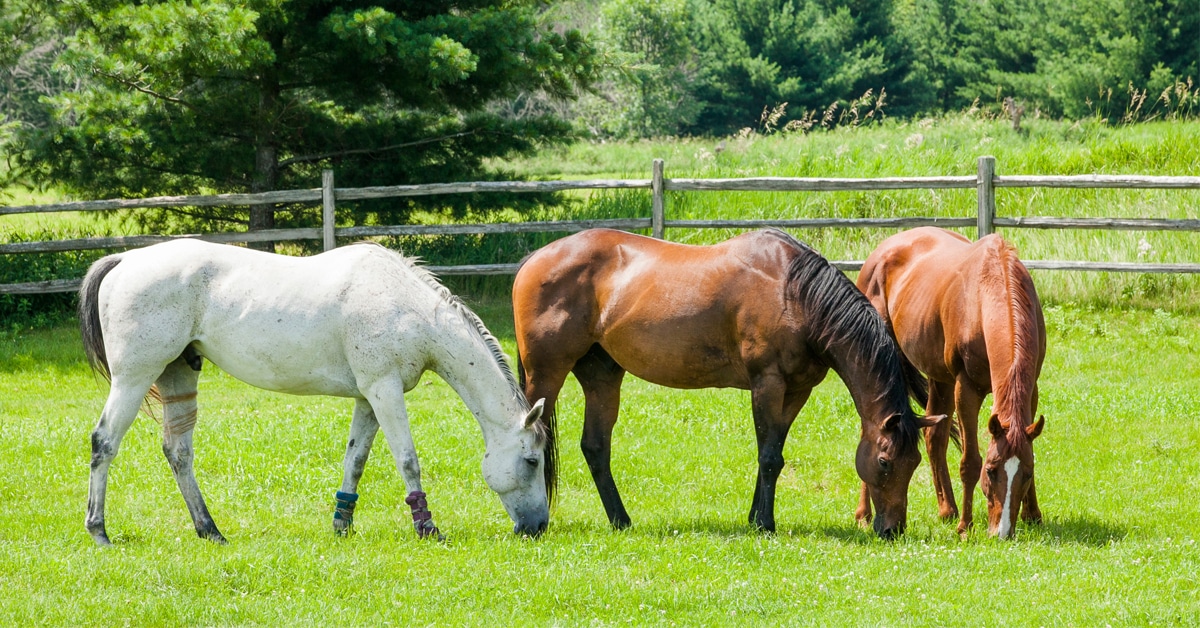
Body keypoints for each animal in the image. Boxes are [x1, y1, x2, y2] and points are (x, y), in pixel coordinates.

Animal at [78, 239, 550, 546]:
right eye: (532, 460)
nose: (537, 527)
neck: (410, 310)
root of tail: (125, 260)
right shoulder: (385, 391)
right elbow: (408, 460)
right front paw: (427, 528)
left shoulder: (369, 398)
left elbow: (355, 460)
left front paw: (343, 525)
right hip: (135, 377)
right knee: (104, 442)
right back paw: (99, 531)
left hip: (178, 374)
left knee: (178, 452)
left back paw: (209, 530)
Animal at [511, 228, 944, 539]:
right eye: (885, 462)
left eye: (915, 462)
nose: (892, 530)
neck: (795, 294)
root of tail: (534, 260)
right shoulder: (767, 384)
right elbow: (769, 457)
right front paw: (765, 524)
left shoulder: (796, 392)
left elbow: (773, 454)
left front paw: (755, 517)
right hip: (546, 374)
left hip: (601, 375)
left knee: (596, 447)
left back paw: (621, 520)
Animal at [855, 227, 1047, 538]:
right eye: (991, 470)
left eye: (1026, 473)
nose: (1002, 532)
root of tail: (882, 250)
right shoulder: (966, 388)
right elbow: (970, 462)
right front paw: (965, 527)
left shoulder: (1031, 391)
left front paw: (1033, 515)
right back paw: (864, 515)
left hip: (939, 378)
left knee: (935, 437)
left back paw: (947, 509)